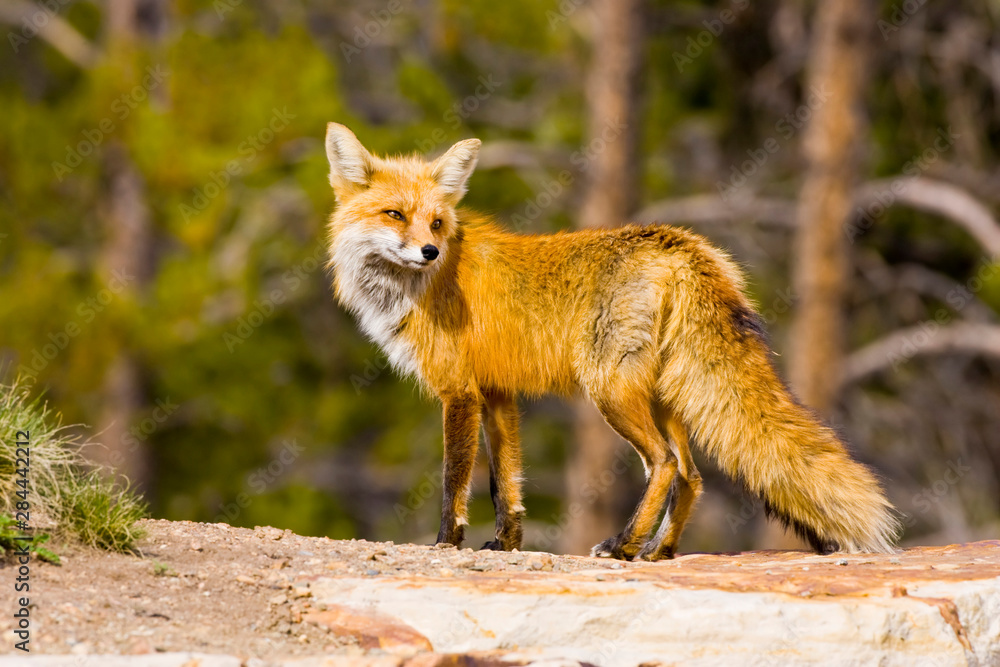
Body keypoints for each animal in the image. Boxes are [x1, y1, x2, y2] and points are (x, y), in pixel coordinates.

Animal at [323, 122, 900, 561]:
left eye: (438, 222)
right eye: (394, 214)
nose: (429, 251)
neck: (415, 288)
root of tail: (680, 245)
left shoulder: (459, 392)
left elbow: (454, 483)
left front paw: (447, 543)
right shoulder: (497, 393)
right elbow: (506, 484)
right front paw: (505, 544)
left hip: (611, 392)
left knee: (664, 465)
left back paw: (622, 545)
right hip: (662, 396)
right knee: (690, 476)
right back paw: (657, 551)